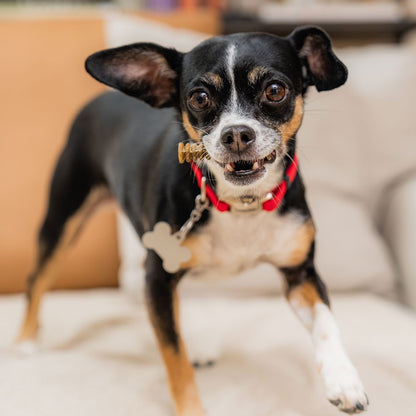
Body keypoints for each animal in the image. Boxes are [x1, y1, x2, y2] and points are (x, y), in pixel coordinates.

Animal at [17, 26, 368, 416]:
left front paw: (344, 378)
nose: (236, 133)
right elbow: (175, 360)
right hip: (64, 217)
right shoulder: (158, 276)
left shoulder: (300, 274)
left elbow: (326, 323)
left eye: (275, 90)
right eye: (199, 98)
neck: (241, 203)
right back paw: (27, 340)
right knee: (37, 278)